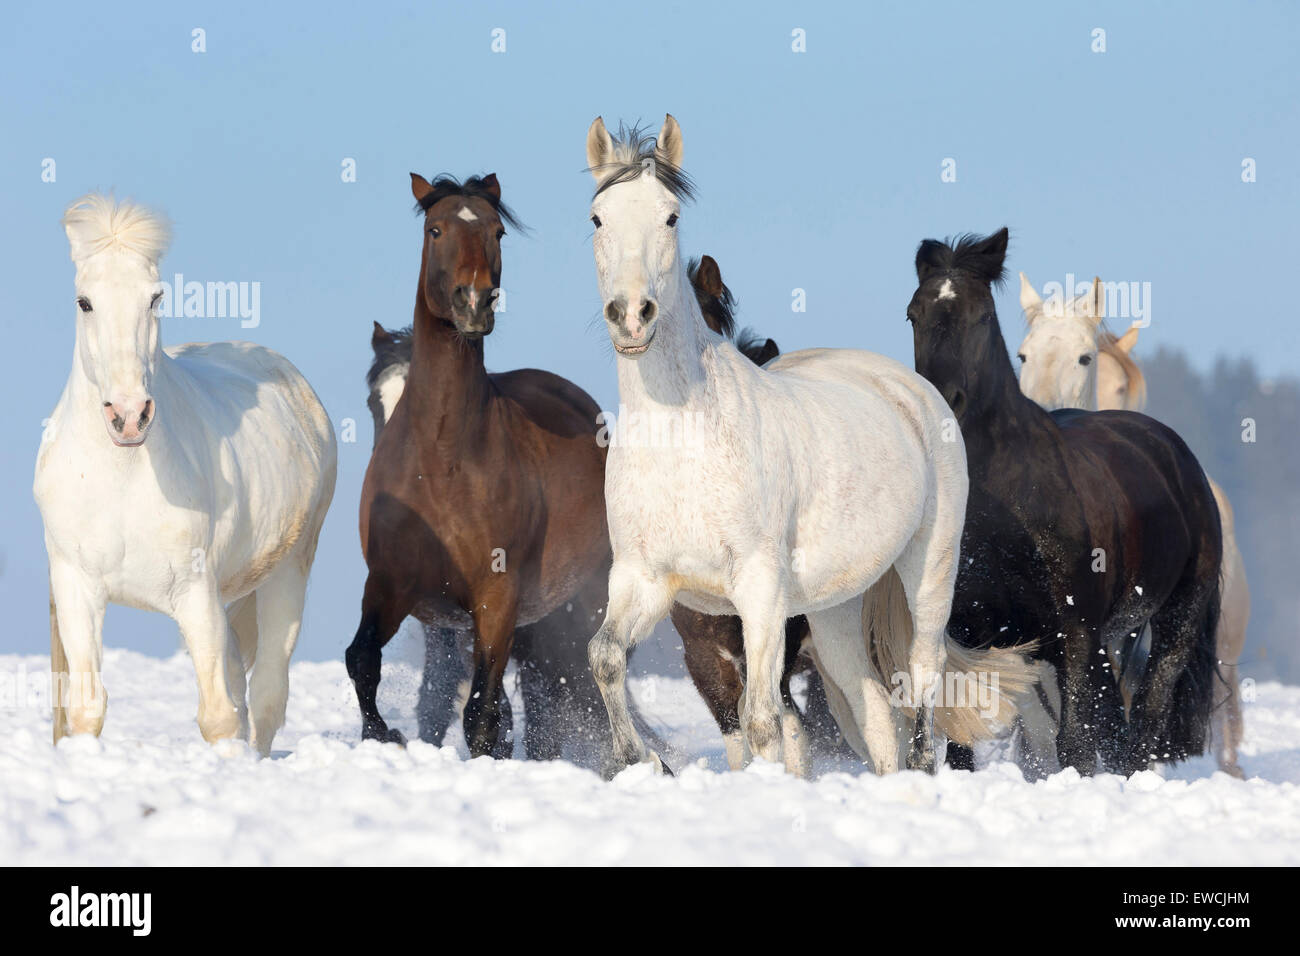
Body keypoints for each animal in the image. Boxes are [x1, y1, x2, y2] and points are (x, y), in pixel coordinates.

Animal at [38, 192, 338, 754]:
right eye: (84, 302)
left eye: (155, 298)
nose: (129, 415)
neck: (122, 475)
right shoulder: (76, 588)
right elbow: (86, 709)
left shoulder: (195, 592)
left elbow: (218, 717)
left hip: (286, 574)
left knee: (266, 697)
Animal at [343, 170, 611, 754]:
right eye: (435, 229)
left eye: (497, 232)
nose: (474, 302)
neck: (442, 460)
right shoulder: (392, 586)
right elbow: (363, 662)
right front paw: (384, 736)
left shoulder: (497, 600)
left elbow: (482, 718)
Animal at [582, 117, 1034, 780]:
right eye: (598, 217)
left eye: (669, 216)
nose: (632, 316)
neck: (683, 438)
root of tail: (910, 387)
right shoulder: (643, 580)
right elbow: (606, 657)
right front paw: (642, 763)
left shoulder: (760, 590)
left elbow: (764, 720)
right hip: (834, 606)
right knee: (872, 704)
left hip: (930, 567)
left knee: (923, 681)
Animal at [909, 231, 1222, 780]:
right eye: (913, 314)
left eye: (982, 315)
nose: (944, 401)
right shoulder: (968, 631)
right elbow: (965, 743)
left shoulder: (1075, 634)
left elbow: (1074, 743)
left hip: (1173, 622)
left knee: (1145, 720)